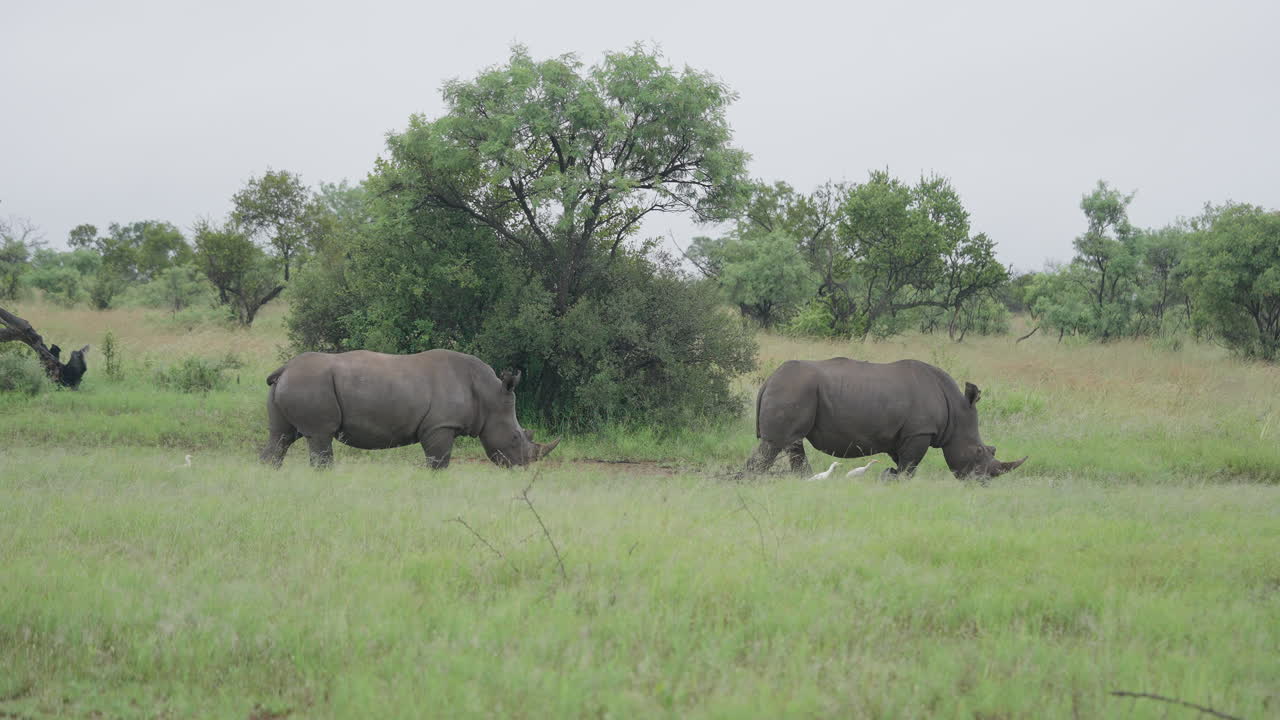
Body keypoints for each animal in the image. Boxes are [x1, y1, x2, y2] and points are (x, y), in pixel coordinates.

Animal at [260, 349, 559, 469]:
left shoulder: (439, 426)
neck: (488, 394)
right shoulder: (440, 426)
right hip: (309, 383)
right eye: (516, 438)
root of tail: (283, 369)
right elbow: (439, 463)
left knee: (280, 438)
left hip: (290, 385)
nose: (522, 467)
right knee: (320, 437)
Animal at [745, 358, 1027, 480]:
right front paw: (897, 480)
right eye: (979, 451)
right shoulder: (920, 431)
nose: (982, 482)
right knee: (774, 445)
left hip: (794, 389)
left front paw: (888, 476)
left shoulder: (904, 434)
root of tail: (769, 378)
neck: (956, 413)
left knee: (792, 442)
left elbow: (902, 462)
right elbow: (909, 466)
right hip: (793, 388)